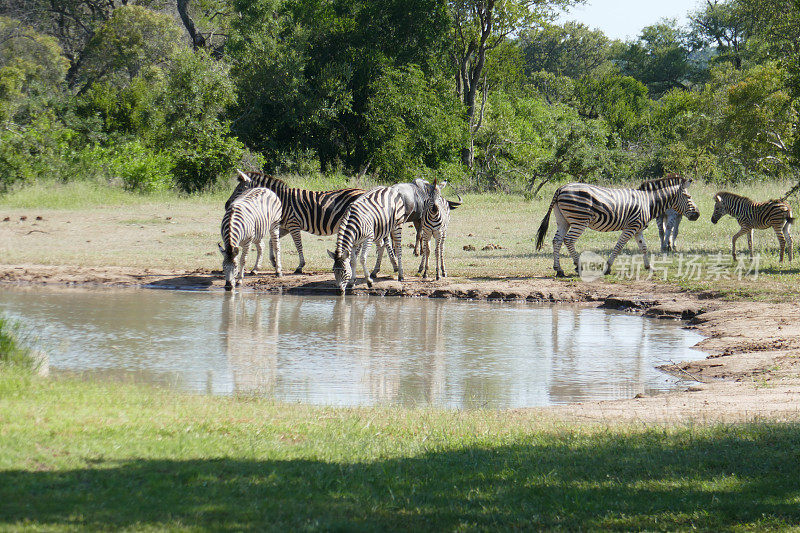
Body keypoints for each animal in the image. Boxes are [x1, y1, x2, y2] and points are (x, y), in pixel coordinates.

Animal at [228, 170, 366, 272]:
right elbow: (271, 241)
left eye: (240, 190)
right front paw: (273, 261)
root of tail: (364, 191)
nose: (227, 205)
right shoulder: (285, 226)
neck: (281, 200)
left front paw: (300, 266)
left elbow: (298, 245)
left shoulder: (293, 224)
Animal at [536, 176, 700, 276]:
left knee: (557, 240)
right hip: (580, 220)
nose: (697, 214)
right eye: (688, 197)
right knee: (569, 240)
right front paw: (608, 267)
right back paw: (579, 266)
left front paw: (649, 267)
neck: (648, 202)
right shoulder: (631, 227)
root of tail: (561, 188)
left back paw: (559, 269)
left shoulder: (638, 229)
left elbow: (644, 247)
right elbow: (619, 246)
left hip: (563, 220)